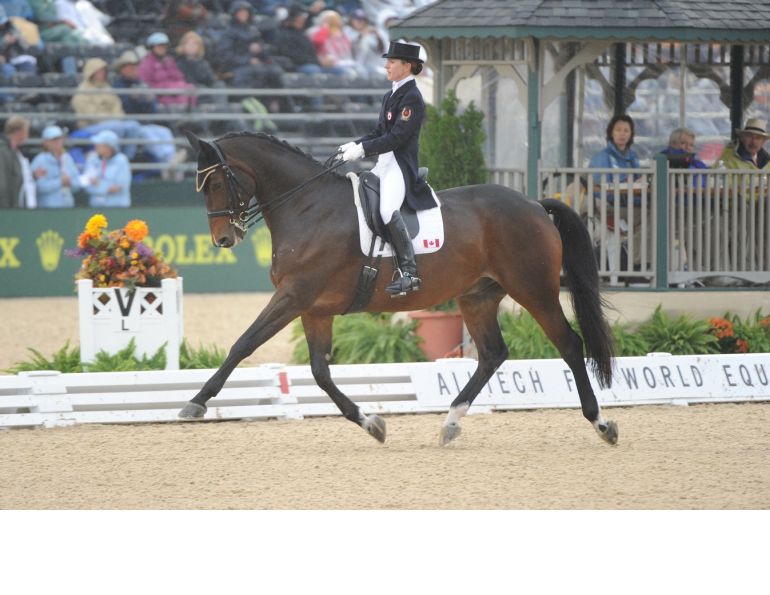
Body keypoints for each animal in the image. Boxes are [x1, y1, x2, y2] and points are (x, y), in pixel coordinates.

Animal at [179, 130, 619, 446]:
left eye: (215, 183)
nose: (223, 239)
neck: (307, 207)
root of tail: (533, 204)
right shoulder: (314, 308)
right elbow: (320, 372)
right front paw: (372, 423)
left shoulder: (292, 297)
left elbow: (243, 344)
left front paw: (195, 403)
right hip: (477, 296)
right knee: (493, 353)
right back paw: (450, 423)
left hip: (534, 290)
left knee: (569, 344)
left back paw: (601, 423)